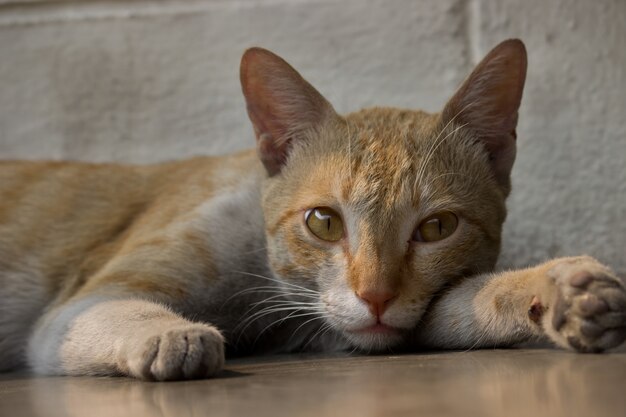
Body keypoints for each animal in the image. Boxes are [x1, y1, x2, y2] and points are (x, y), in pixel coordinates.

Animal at [0, 39, 620, 380]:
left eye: (437, 227)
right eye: (323, 222)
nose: (375, 296)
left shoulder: (390, 322)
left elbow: (470, 302)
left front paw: (558, 288)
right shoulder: (81, 307)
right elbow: (119, 311)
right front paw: (171, 335)